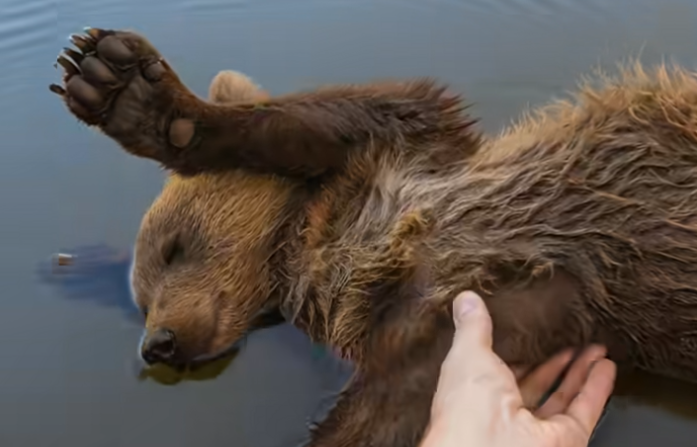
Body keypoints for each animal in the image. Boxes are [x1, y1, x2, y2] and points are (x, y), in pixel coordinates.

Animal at [51, 27, 697, 447]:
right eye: (141, 300)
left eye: (174, 247)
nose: (156, 343)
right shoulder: (460, 320)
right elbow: (403, 397)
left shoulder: (414, 150)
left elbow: (351, 111)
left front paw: (123, 88)